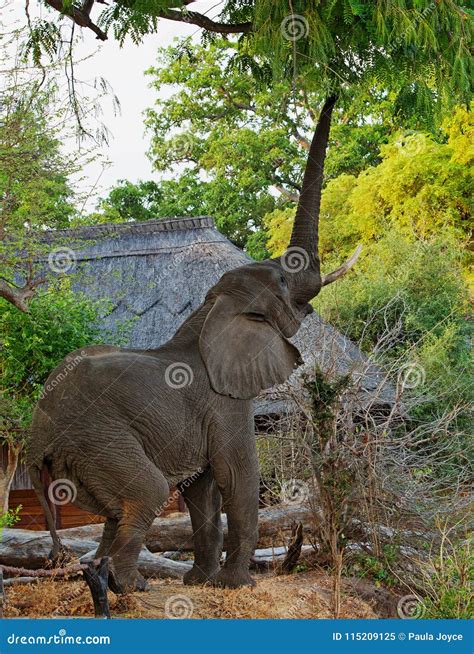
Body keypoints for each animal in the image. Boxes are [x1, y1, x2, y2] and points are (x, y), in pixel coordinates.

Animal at [27, 96, 360, 593]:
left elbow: (203, 491)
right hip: (97, 437)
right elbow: (237, 476)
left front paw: (201, 583)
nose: (334, 93)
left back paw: (101, 575)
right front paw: (237, 585)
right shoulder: (225, 403)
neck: (210, 310)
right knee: (147, 492)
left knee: (116, 511)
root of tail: (34, 437)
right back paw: (131, 586)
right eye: (283, 279)